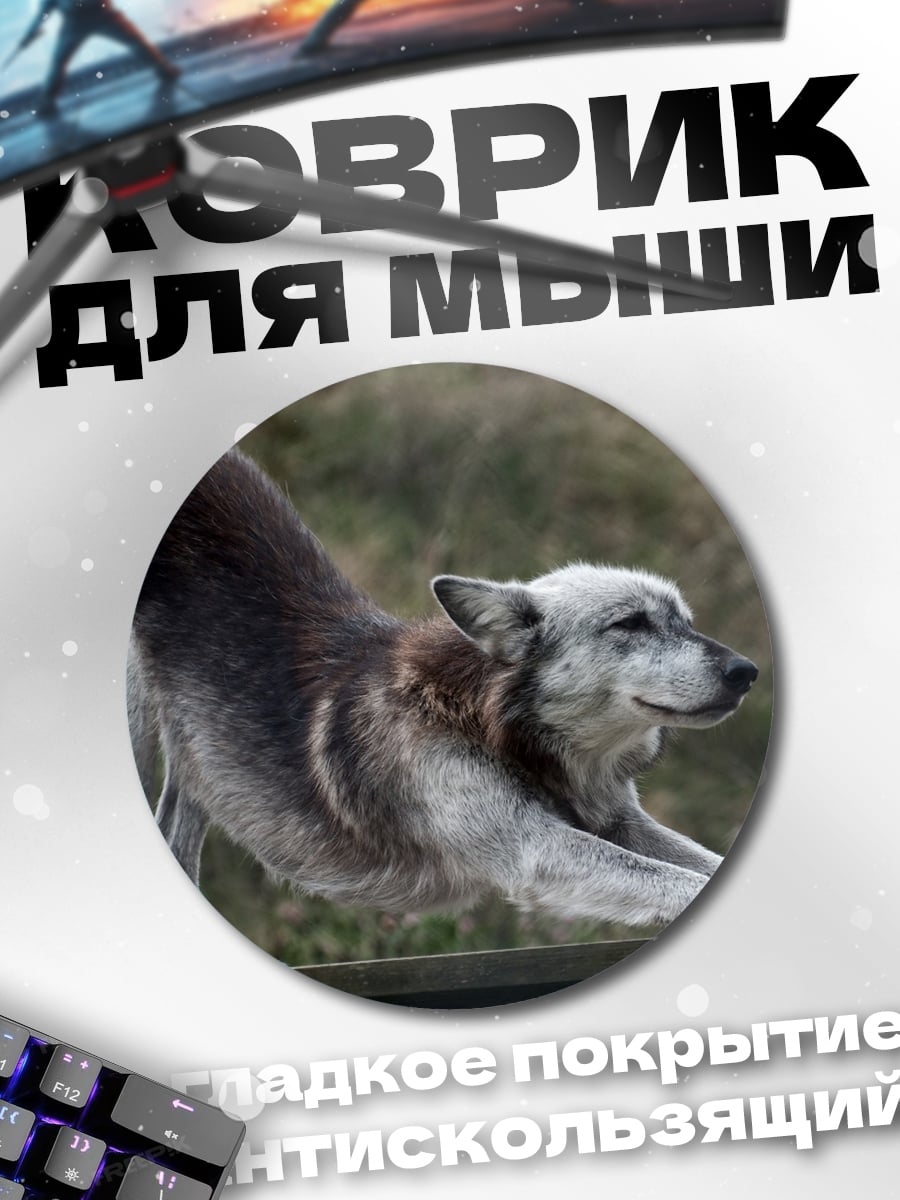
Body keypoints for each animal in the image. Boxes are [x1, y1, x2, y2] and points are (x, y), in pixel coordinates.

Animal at [128, 449, 759, 928]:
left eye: (686, 622)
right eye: (631, 623)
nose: (747, 672)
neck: (487, 725)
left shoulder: (619, 822)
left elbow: (702, 864)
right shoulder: (538, 850)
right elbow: (680, 883)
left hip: (199, 752)